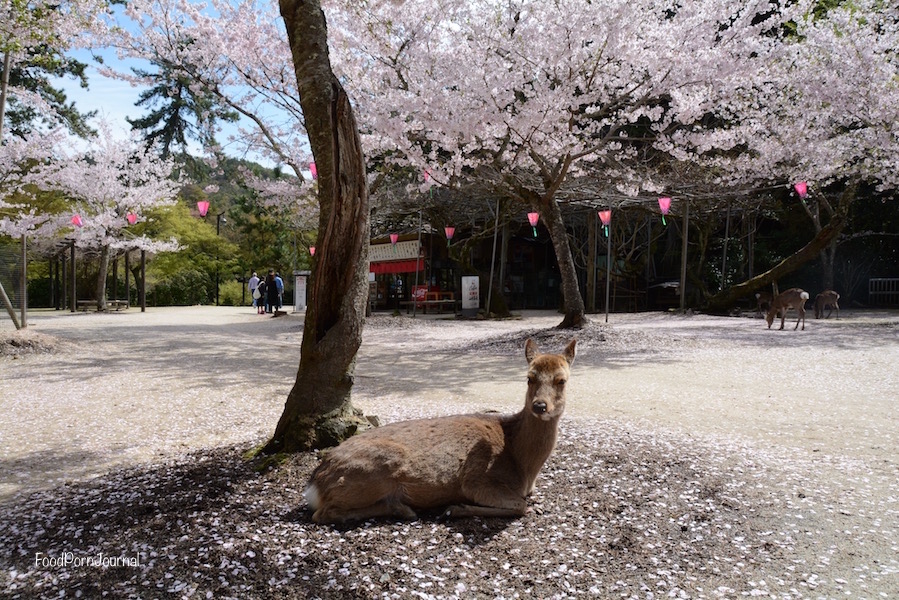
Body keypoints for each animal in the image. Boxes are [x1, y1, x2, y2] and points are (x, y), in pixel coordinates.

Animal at [306, 338, 580, 524]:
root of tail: (314, 484)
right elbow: (520, 506)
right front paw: (456, 508)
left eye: (562, 380)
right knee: (323, 513)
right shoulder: (476, 480)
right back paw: (403, 509)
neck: (525, 468)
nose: (540, 405)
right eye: (529, 377)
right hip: (376, 468)